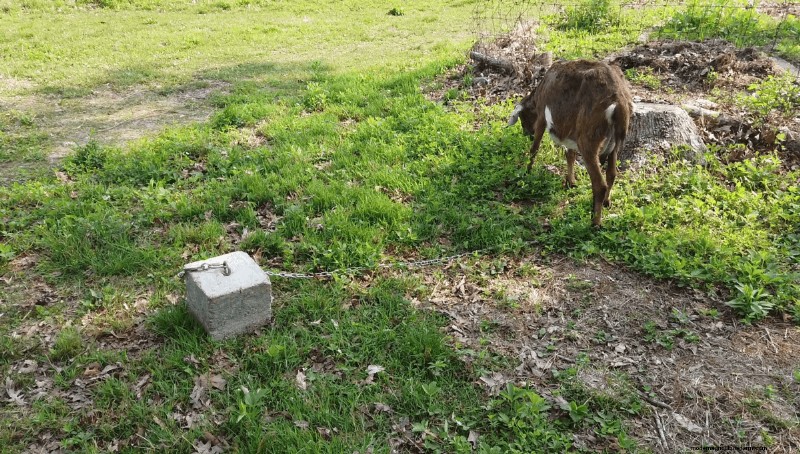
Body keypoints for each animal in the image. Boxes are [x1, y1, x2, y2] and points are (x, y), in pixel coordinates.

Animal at [507, 59, 633, 227]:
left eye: (522, 117)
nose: (526, 133)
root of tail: (619, 103)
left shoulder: (541, 117)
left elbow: (535, 148)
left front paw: (527, 171)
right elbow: (570, 155)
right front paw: (570, 182)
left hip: (588, 140)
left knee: (599, 184)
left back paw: (595, 222)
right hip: (614, 144)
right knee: (612, 173)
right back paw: (607, 202)